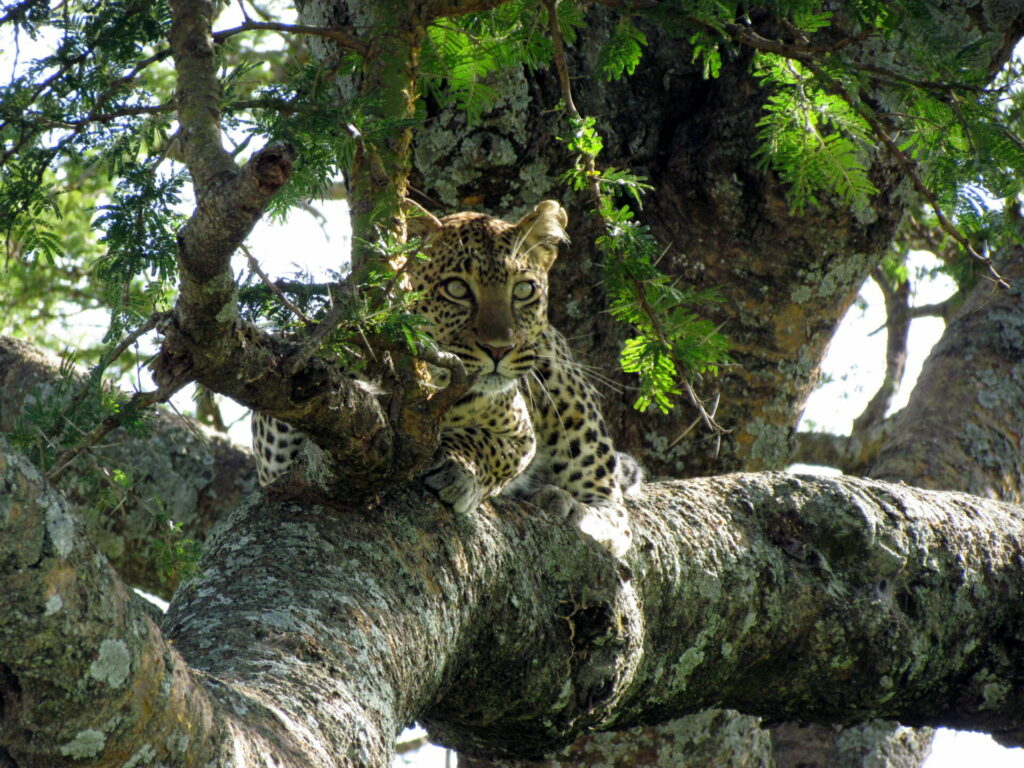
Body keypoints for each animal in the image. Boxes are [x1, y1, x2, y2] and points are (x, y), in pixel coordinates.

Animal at [251, 201, 634, 557]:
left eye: (524, 290)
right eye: (457, 289)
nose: (499, 348)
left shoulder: (521, 432)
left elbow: (489, 446)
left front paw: (457, 469)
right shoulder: (276, 443)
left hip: (562, 388)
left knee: (617, 517)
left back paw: (568, 506)